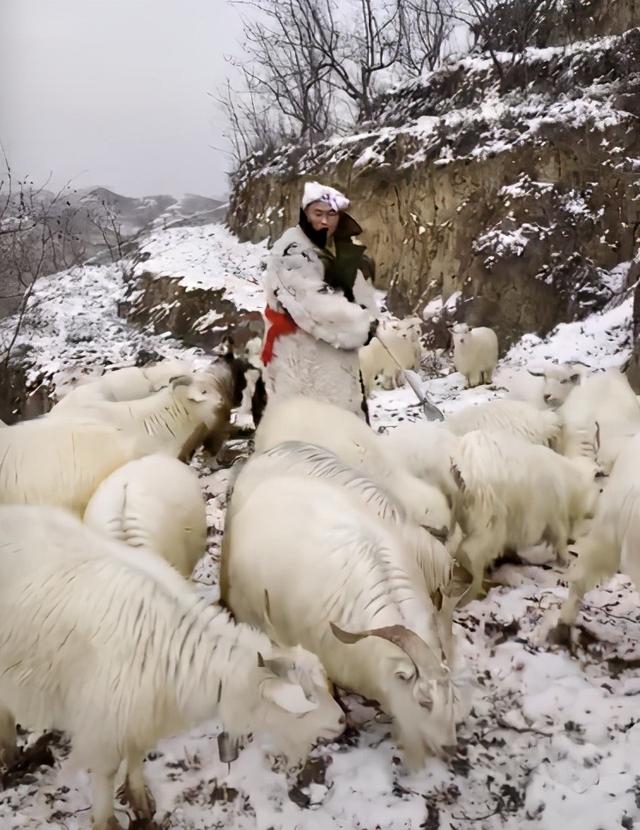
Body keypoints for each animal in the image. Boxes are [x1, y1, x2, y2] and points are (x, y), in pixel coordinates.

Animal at [0, 508, 344, 830]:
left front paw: (140, 800)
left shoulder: (141, 716)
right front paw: (106, 819)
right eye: (304, 700)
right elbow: (107, 772)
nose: (341, 721)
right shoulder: (104, 721)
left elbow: (137, 753)